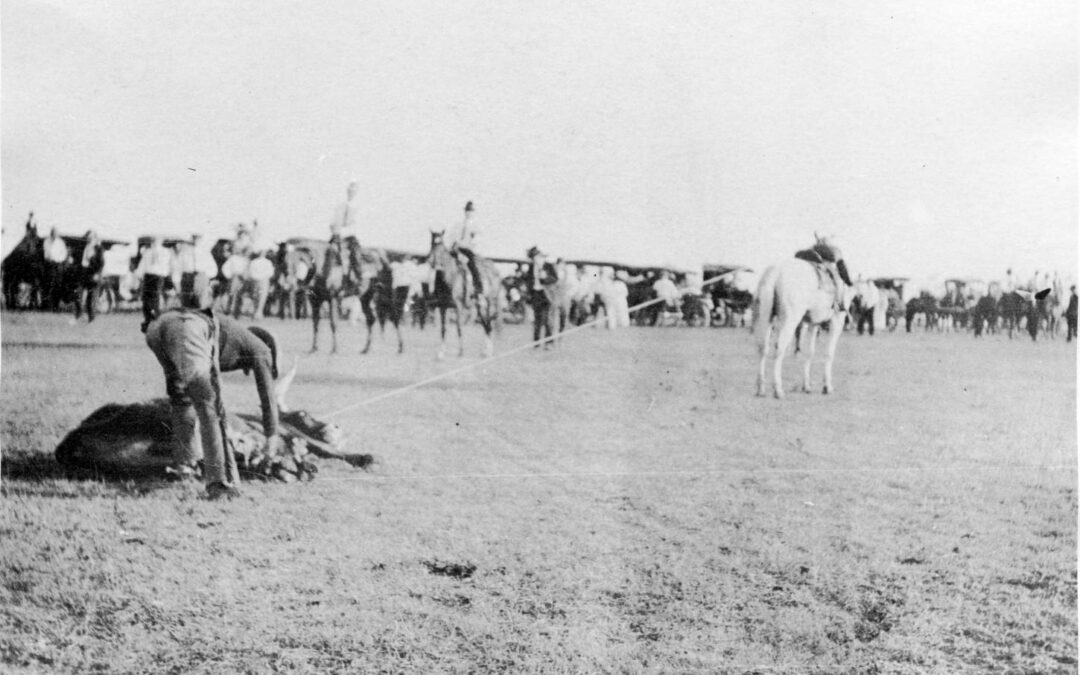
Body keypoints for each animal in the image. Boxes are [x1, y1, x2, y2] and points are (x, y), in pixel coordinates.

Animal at [425, 228, 501, 358]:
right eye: (431, 244)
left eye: (441, 246)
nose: (432, 262)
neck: (450, 278)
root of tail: (494, 270)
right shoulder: (443, 307)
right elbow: (443, 329)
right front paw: (441, 353)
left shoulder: (458, 306)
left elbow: (459, 327)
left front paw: (461, 351)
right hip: (478, 306)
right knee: (485, 324)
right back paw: (484, 350)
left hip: (489, 302)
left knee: (489, 323)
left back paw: (489, 351)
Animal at [756, 254, 855, 397]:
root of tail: (775, 273)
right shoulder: (836, 321)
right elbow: (829, 353)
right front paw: (827, 387)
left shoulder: (813, 323)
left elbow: (810, 352)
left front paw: (806, 386)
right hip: (790, 318)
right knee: (779, 347)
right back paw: (778, 390)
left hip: (766, 315)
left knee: (763, 347)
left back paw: (761, 389)